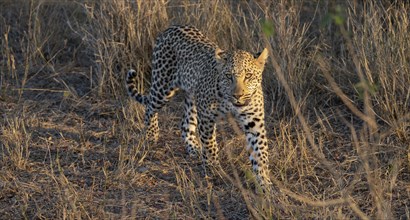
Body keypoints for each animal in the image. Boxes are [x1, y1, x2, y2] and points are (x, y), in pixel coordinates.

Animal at [126, 25, 270, 187]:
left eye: (249, 76)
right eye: (228, 76)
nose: (237, 95)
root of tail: (171, 27)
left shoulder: (254, 123)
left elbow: (260, 152)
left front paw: (264, 183)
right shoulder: (207, 118)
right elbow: (210, 145)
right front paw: (214, 170)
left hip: (192, 98)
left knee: (185, 124)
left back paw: (193, 148)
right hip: (162, 87)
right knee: (150, 106)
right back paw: (151, 135)